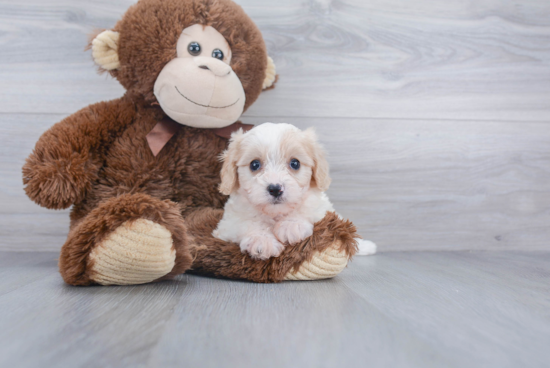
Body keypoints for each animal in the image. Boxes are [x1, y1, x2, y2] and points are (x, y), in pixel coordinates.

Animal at [213, 123, 378, 262]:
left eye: (295, 163)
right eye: (254, 164)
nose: (275, 189)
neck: (276, 214)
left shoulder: (322, 209)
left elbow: (306, 208)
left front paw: (291, 225)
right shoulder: (227, 224)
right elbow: (247, 222)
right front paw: (262, 240)